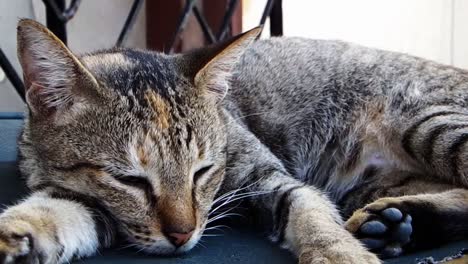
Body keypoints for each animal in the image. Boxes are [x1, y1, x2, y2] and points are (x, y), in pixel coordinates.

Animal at [0, 18, 468, 264]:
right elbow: (53, 211)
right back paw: (399, 224)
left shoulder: (273, 179)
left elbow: (314, 216)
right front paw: (17, 232)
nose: (182, 235)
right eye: (129, 180)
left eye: (203, 171)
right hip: (374, 181)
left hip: (428, 124)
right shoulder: (86, 199)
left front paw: (341, 255)